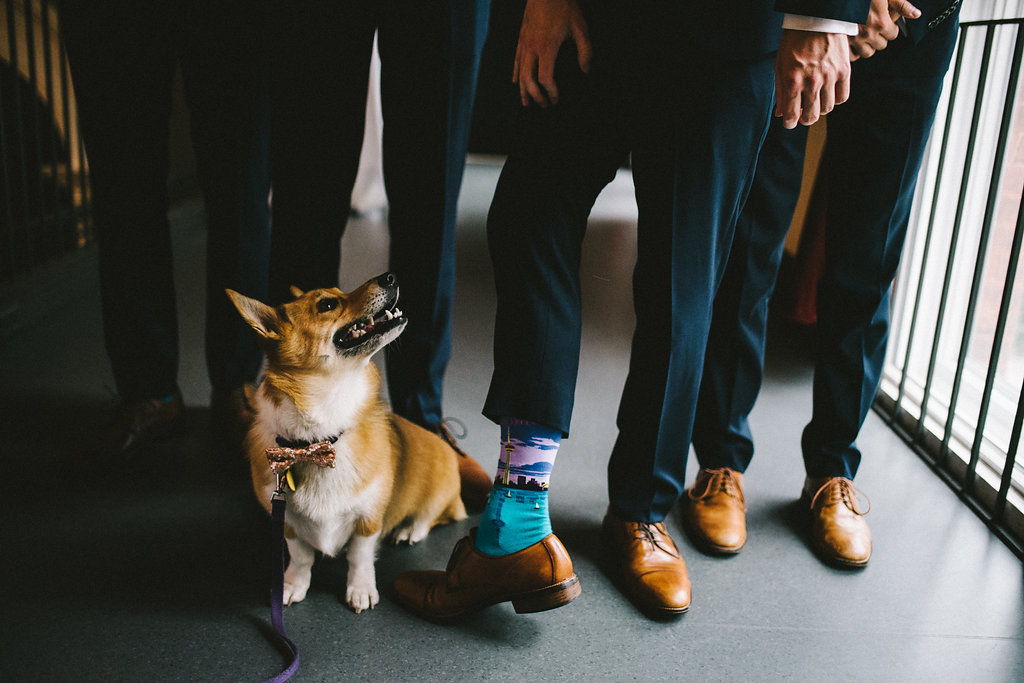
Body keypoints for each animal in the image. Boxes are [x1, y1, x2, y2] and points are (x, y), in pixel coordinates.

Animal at [227, 272, 464, 614]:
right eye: (327, 304)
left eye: (338, 293)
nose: (390, 276)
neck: (319, 439)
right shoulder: (287, 521)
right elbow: (300, 557)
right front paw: (292, 586)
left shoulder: (369, 519)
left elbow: (359, 557)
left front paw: (361, 590)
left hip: (438, 490)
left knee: (429, 517)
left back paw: (408, 530)